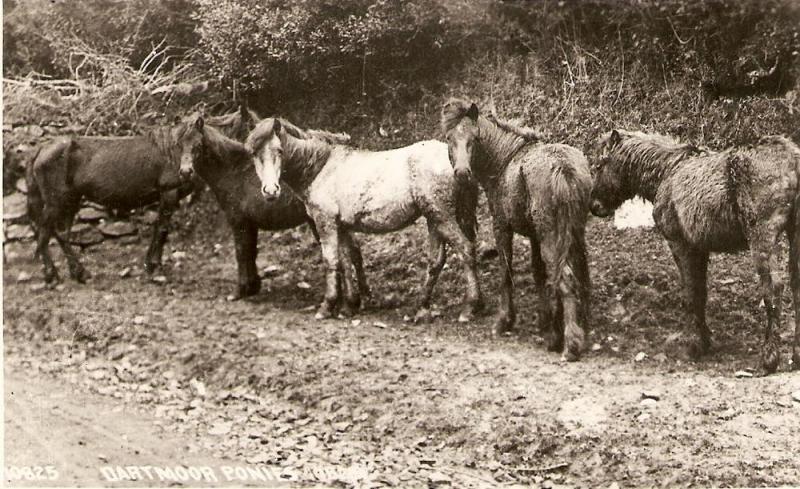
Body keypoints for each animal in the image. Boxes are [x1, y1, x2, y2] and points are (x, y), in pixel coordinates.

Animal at [244, 116, 482, 318]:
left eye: (279, 150)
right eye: (254, 153)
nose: (270, 191)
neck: (322, 167)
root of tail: (460, 164)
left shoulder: (325, 222)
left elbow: (331, 261)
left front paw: (327, 306)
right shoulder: (341, 226)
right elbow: (346, 261)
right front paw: (349, 306)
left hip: (442, 216)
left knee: (466, 249)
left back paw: (470, 307)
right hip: (434, 218)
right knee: (436, 261)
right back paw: (421, 309)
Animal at [440, 99, 592, 360]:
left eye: (474, 138)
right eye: (449, 138)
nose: (461, 173)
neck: (505, 161)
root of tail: (563, 168)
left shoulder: (502, 227)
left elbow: (506, 272)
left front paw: (504, 321)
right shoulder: (534, 237)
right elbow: (539, 274)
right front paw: (546, 325)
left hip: (552, 239)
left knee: (566, 280)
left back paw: (571, 345)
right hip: (572, 234)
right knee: (578, 276)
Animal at [588, 127, 800, 372]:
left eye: (600, 165)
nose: (594, 206)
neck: (666, 171)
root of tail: (793, 160)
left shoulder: (680, 244)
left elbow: (690, 294)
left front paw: (694, 345)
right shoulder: (699, 249)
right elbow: (700, 293)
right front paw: (705, 340)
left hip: (762, 237)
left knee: (773, 289)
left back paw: (769, 358)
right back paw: (796, 355)